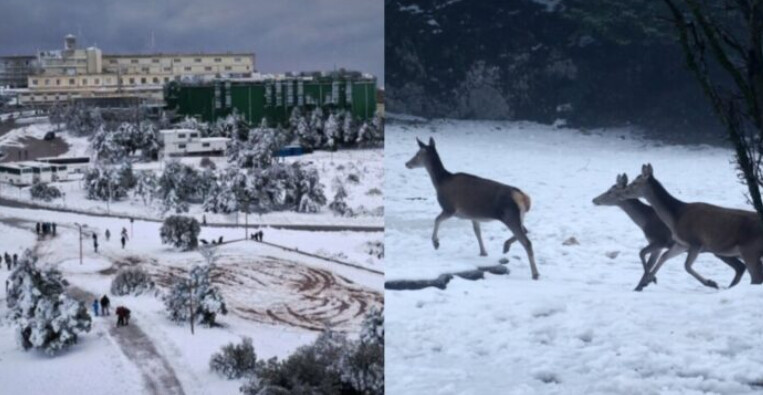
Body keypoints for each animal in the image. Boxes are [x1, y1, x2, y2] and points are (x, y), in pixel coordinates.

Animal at [402, 138, 540, 280]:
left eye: (418, 154)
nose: (407, 163)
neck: (440, 182)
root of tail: (524, 198)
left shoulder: (450, 208)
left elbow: (437, 220)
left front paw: (436, 243)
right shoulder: (473, 216)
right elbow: (477, 232)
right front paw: (483, 252)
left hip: (509, 216)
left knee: (527, 242)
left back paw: (535, 274)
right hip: (518, 217)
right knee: (526, 230)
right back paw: (506, 246)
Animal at [592, 173, 748, 290]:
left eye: (611, 191)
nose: (594, 199)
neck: (645, 221)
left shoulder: (660, 240)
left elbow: (642, 254)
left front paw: (648, 281)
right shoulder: (659, 245)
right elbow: (650, 261)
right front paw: (640, 286)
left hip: (719, 249)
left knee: (741, 266)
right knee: (740, 267)